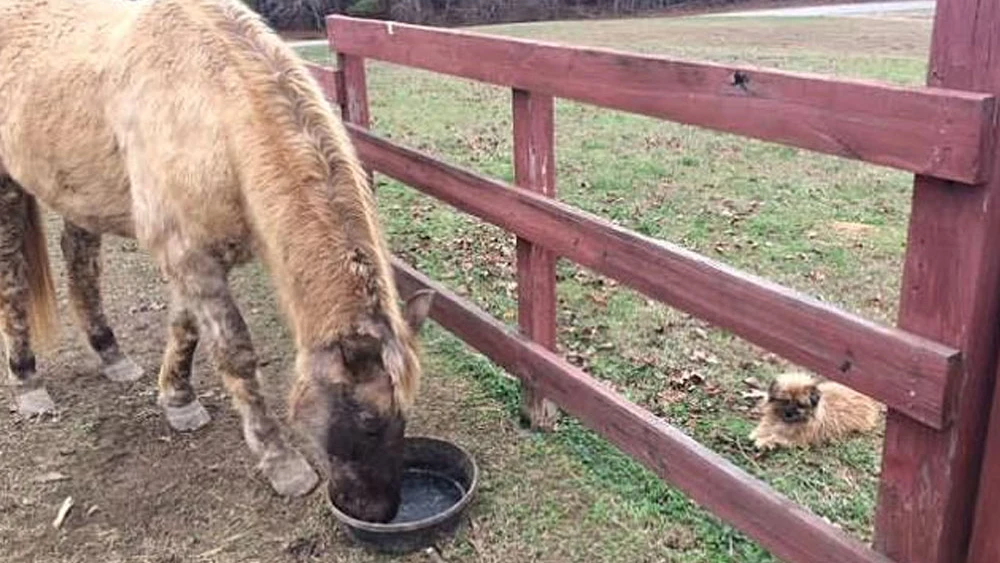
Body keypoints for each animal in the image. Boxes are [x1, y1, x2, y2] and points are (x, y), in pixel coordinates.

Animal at [0, 0, 434, 524]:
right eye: (369, 419)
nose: (379, 511)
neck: (213, 111)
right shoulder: (189, 254)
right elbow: (235, 354)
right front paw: (281, 463)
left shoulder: (194, 256)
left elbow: (185, 328)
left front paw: (177, 401)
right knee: (13, 278)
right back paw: (27, 381)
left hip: (79, 189)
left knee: (80, 260)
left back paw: (111, 354)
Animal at [752, 372, 884, 452]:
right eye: (785, 401)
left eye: (800, 404)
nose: (789, 413)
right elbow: (765, 427)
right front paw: (758, 433)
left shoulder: (795, 439)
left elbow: (776, 437)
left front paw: (764, 441)